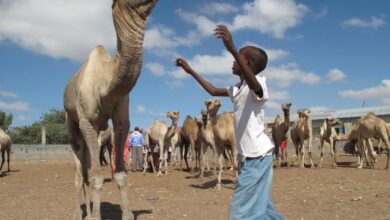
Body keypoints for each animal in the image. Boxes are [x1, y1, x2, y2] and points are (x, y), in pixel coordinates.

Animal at [62, 0, 157, 219]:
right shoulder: (87, 121)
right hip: (71, 123)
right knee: (80, 172)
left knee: (86, 170)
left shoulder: (122, 121)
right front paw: (96, 217)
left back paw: (88, 211)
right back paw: (78, 214)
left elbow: (121, 175)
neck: (105, 84)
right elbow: (96, 176)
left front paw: (127, 214)